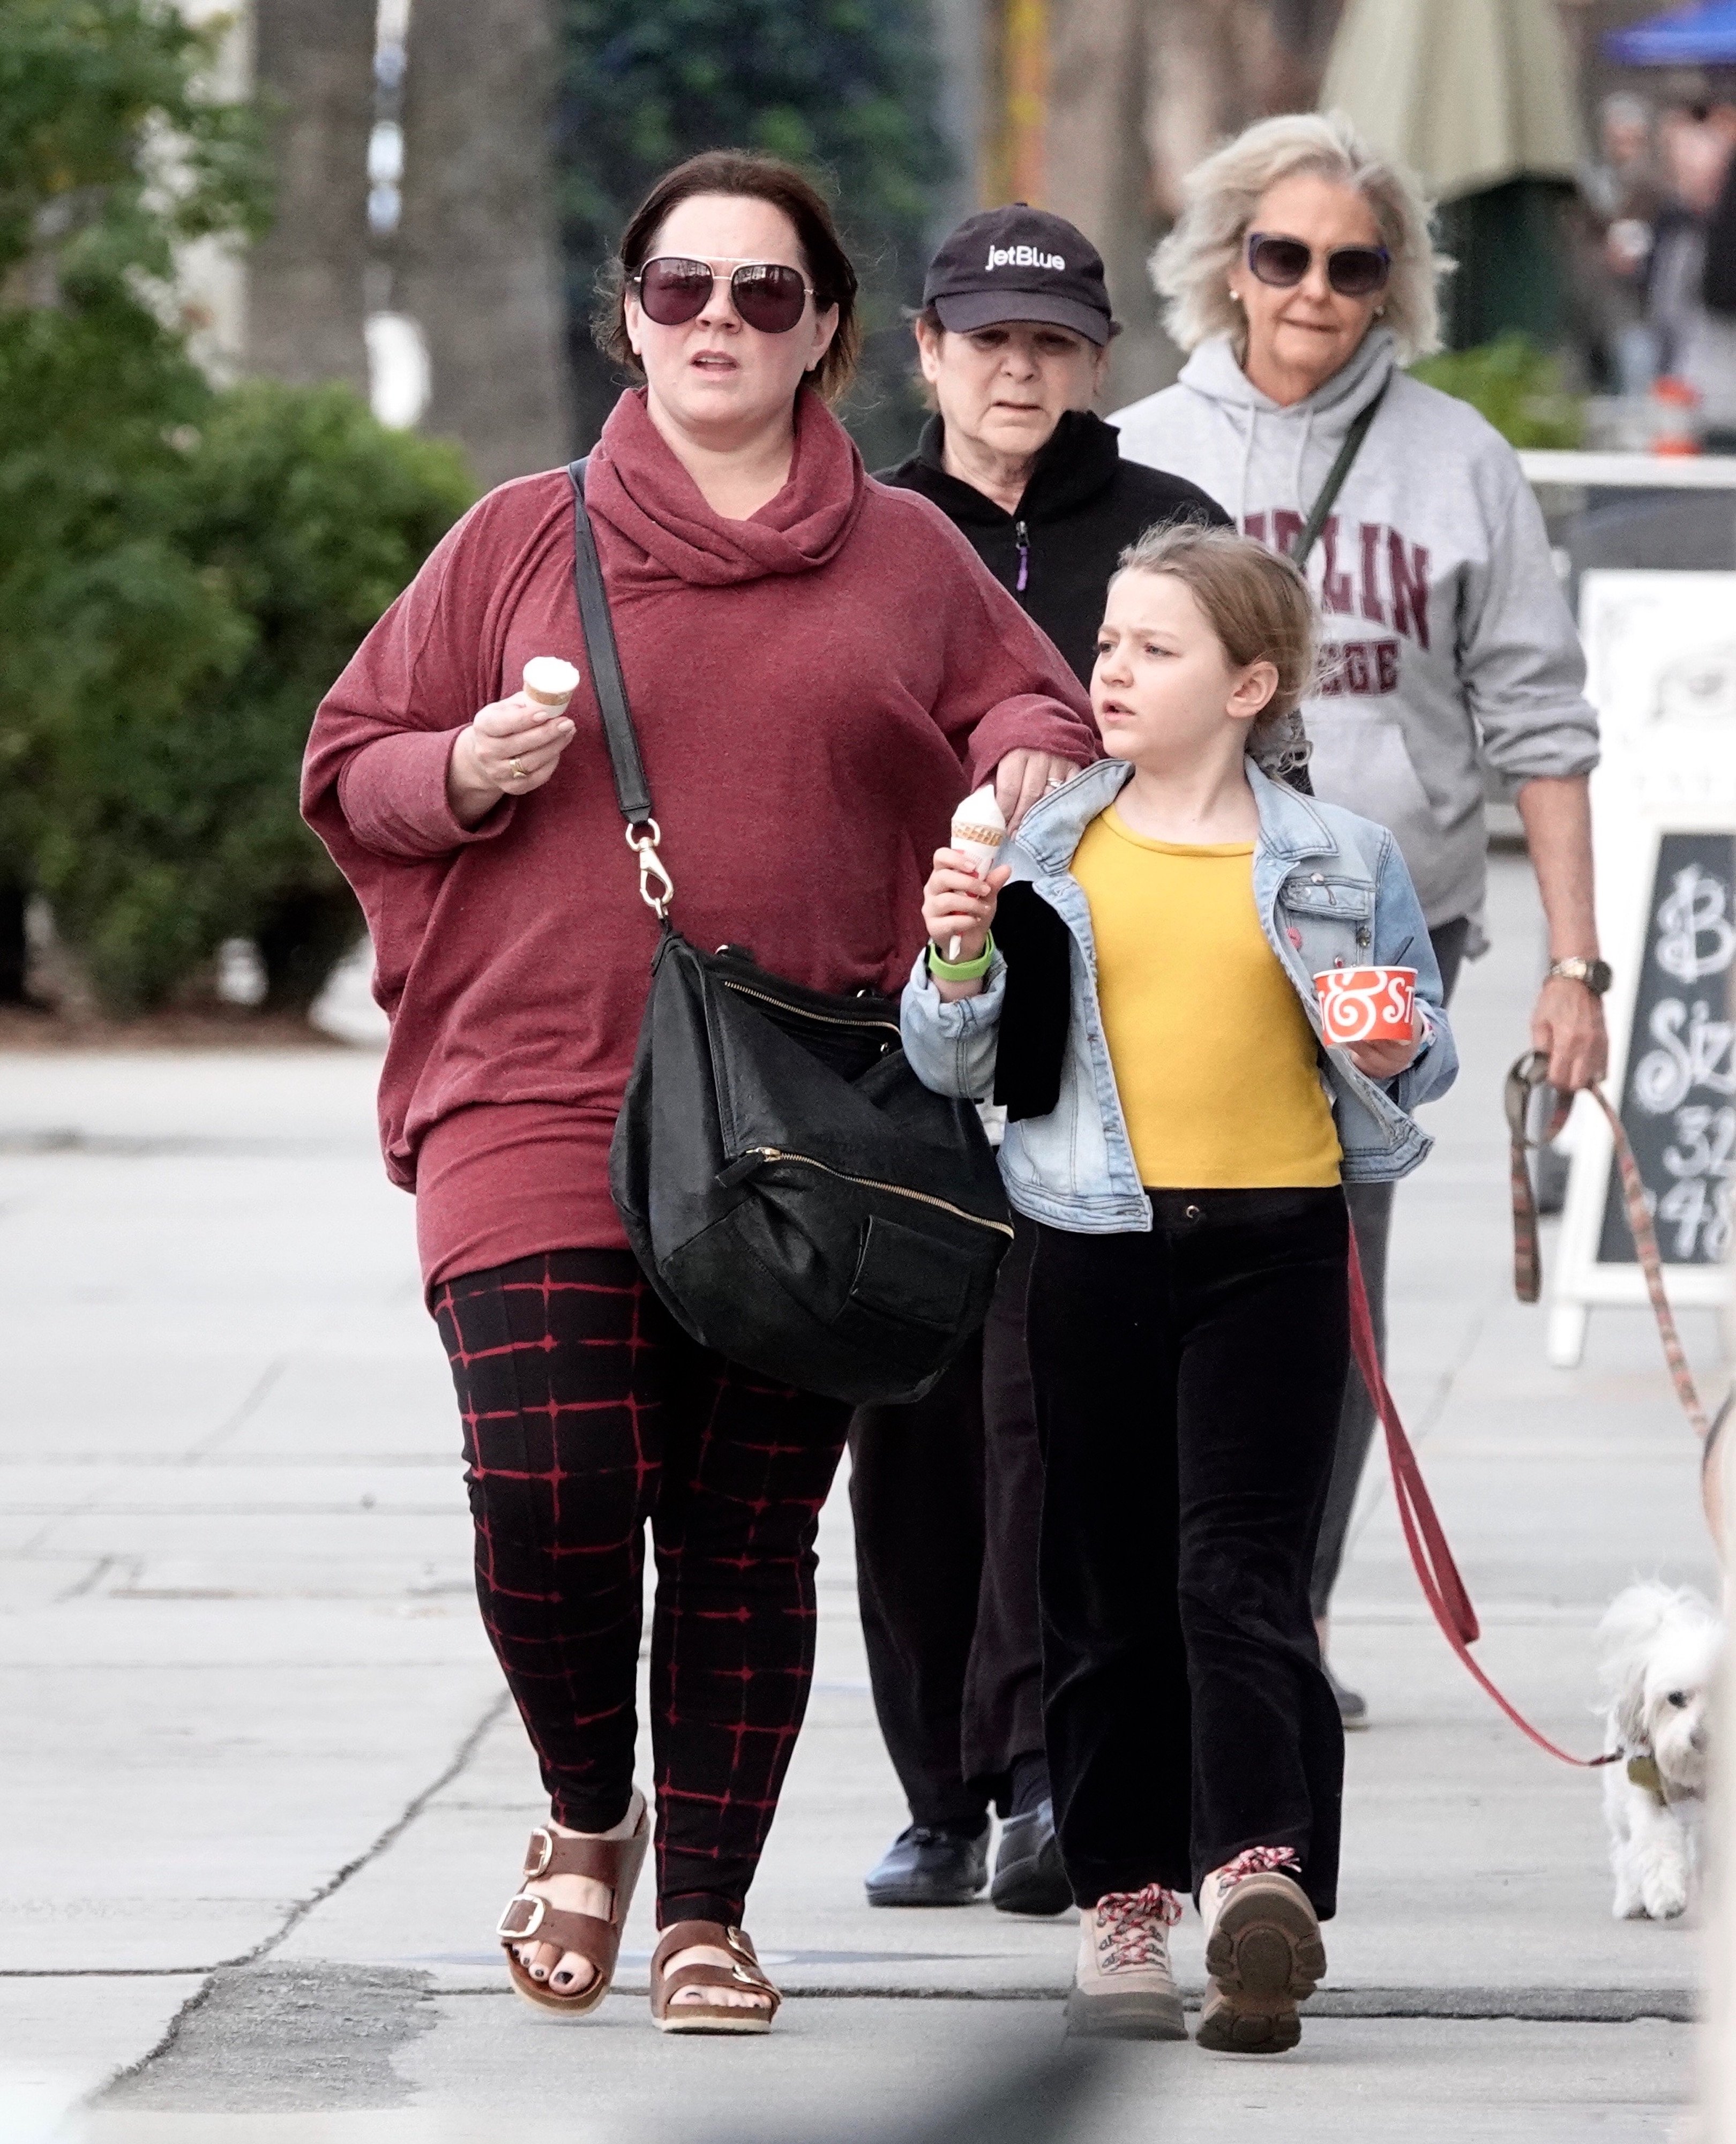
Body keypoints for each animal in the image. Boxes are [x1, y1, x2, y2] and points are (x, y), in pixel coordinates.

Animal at [1595, 1578, 1715, 1929]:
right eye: (1675, 1698)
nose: (1700, 1738)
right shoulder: (1650, 1792)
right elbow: (1657, 1844)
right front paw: (1666, 1898)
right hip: (1619, 1801)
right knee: (1625, 1849)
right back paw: (1632, 1901)